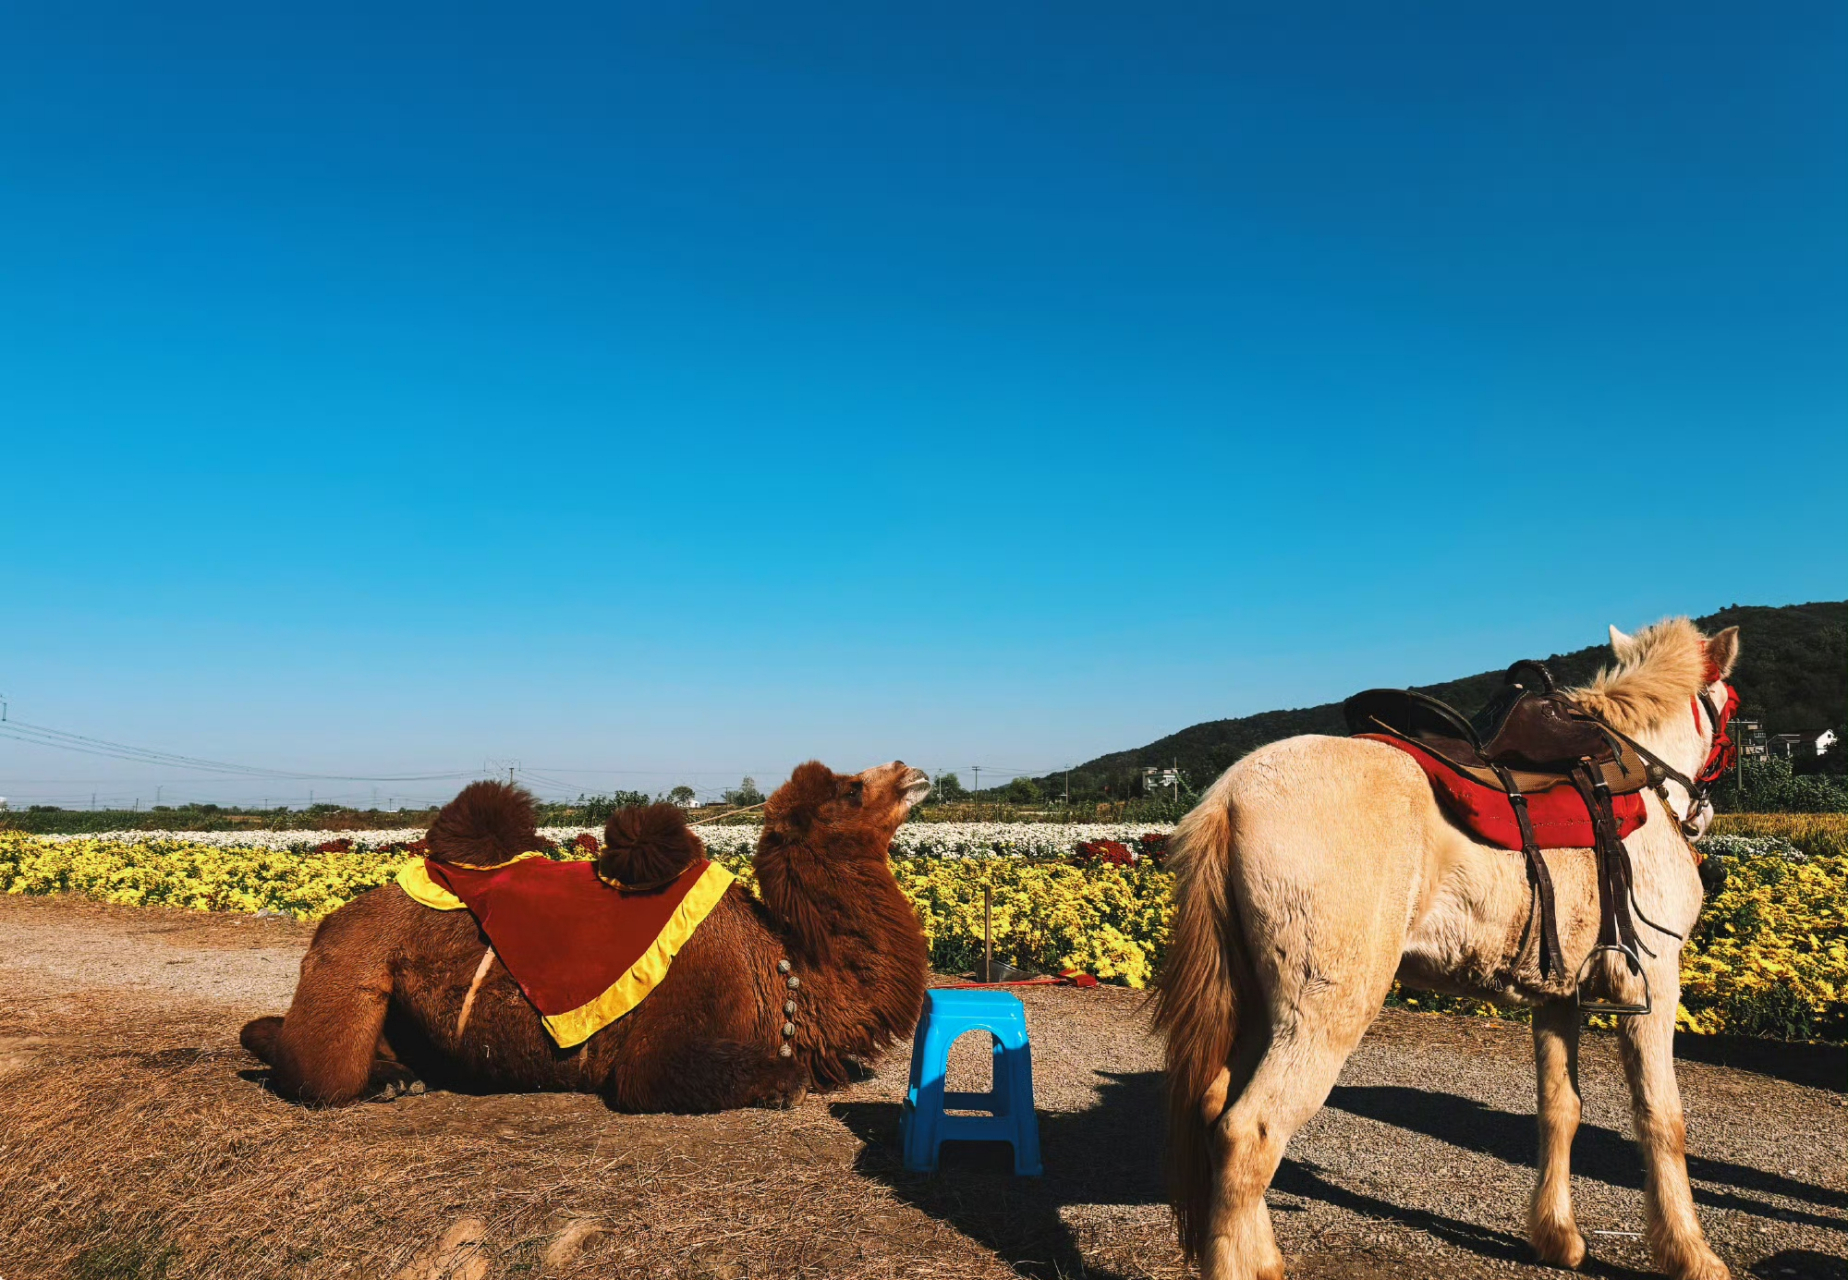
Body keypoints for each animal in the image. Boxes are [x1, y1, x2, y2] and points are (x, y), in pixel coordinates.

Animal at [1154, 617, 1740, 1280]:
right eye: (1731, 707)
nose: (1704, 811)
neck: (1630, 778)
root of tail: (1232, 792)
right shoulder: (1655, 982)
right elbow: (1662, 1119)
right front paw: (1691, 1252)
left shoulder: (1557, 998)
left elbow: (1560, 1110)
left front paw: (1557, 1235)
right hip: (1323, 1015)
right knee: (1248, 1132)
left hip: (1258, 1007)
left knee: (1216, 1108)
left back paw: (1265, 1258)